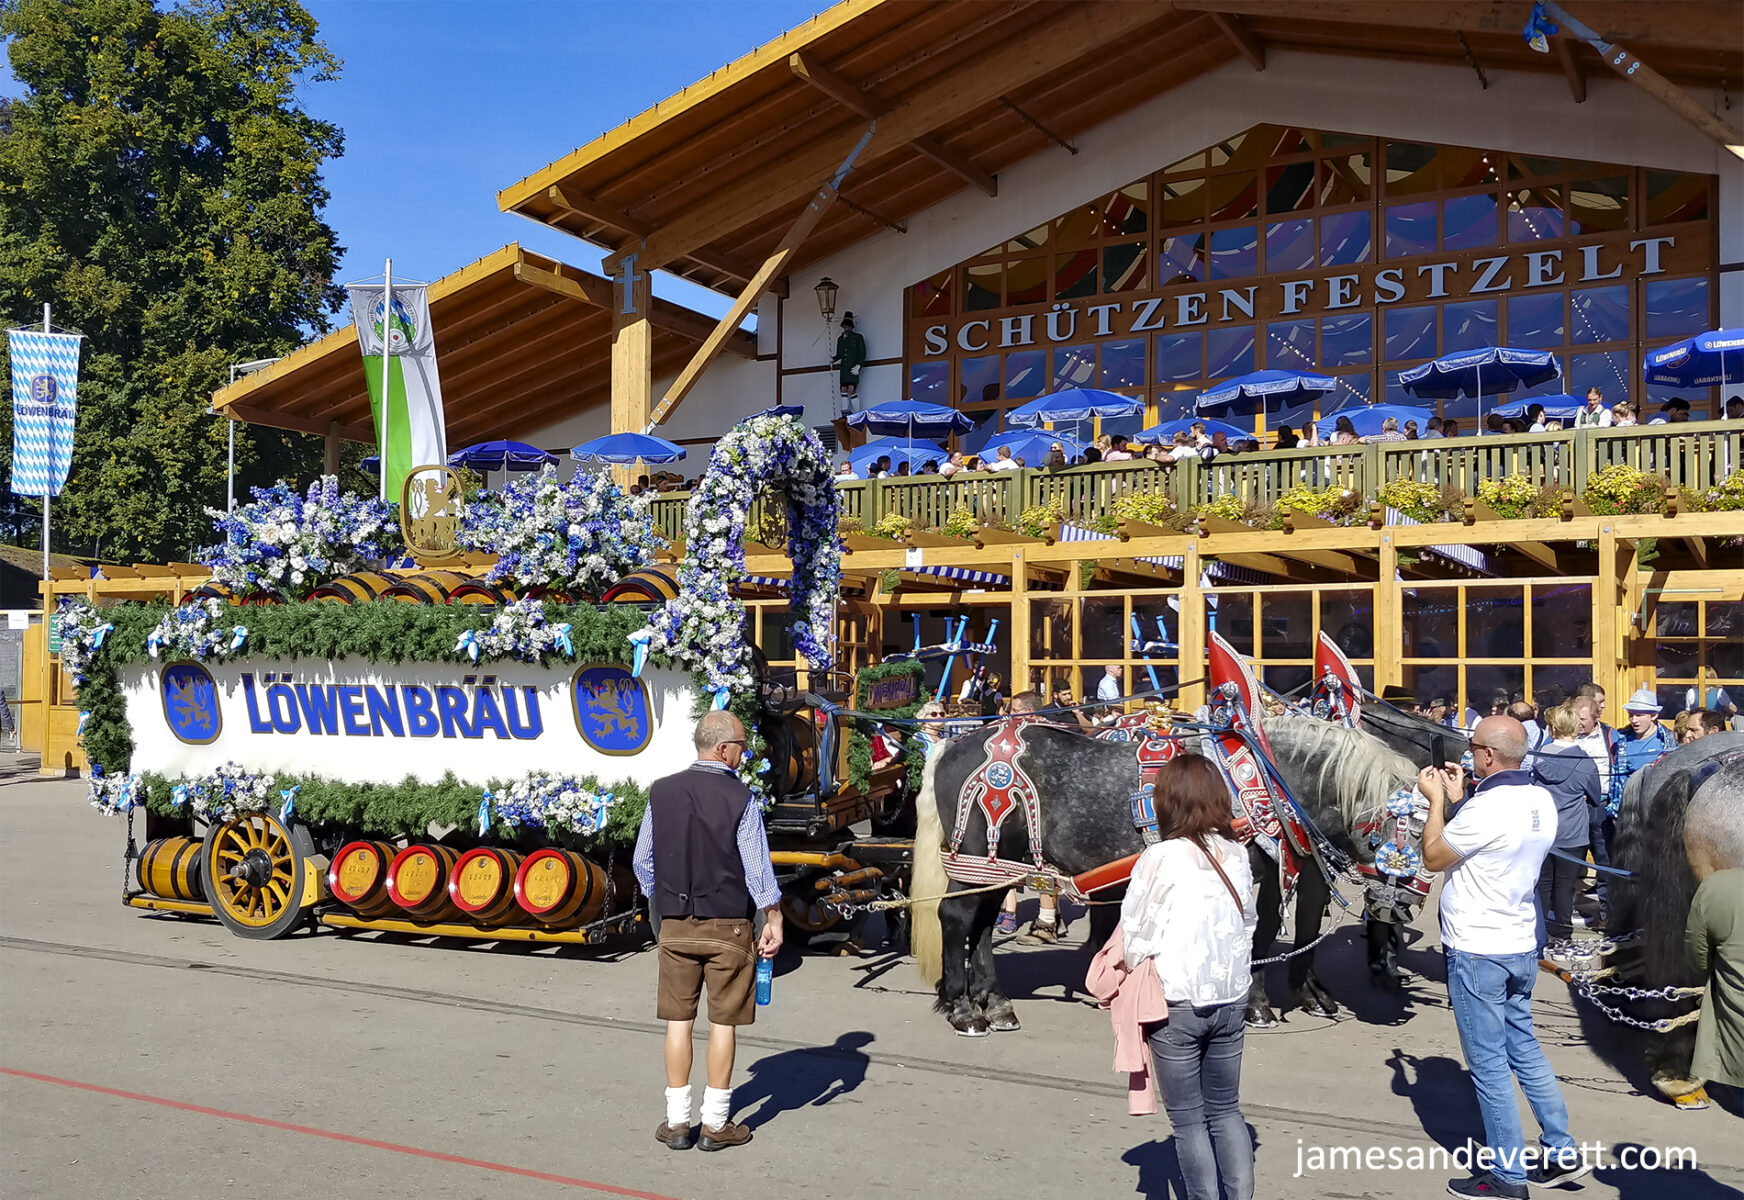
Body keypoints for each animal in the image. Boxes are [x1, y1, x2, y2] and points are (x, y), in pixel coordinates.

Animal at [906, 718, 1423, 1032]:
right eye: (1400, 834)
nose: (1407, 905)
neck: (1269, 780)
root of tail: (952, 744)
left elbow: (1281, 931)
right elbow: (1260, 934)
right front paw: (1256, 1006)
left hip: (999, 863)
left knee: (983, 925)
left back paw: (994, 1003)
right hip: (976, 851)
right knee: (957, 919)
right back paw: (962, 1008)